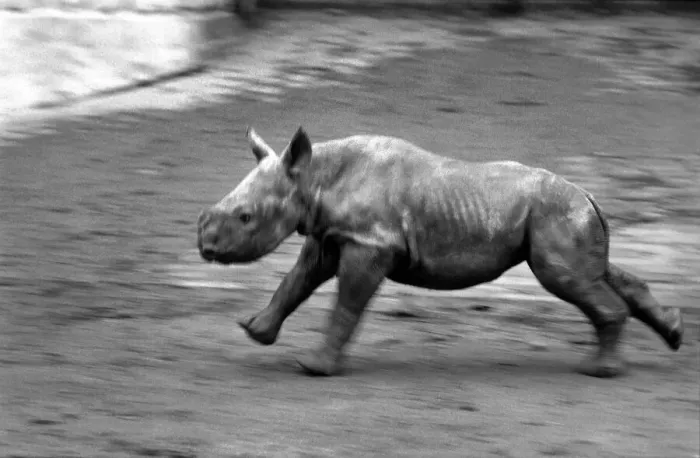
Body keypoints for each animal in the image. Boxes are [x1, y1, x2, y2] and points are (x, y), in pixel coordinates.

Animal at [197, 127, 684, 378]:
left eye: (245, 217)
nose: (204, 246)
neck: (314, 178)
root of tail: (588, 194)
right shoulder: (332, 235)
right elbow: (295, 281)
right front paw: (255, 331)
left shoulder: (370, 242)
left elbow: (346, 302)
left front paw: (314, 367)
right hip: (565, 216)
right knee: (594, 271)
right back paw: (672, 336)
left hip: (556, 213)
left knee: (567, 276)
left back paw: (599, 371)